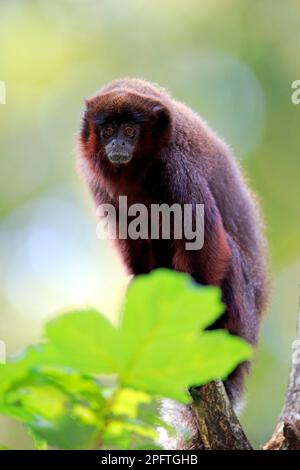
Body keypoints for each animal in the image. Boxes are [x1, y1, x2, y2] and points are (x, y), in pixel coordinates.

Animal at [77, 79, 268, 450]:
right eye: (107, 131)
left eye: (130, 130)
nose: (118, 143)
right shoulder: (97, 182)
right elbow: (135, 242)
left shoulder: (176, 166)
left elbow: (205, 240)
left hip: (239, 316)